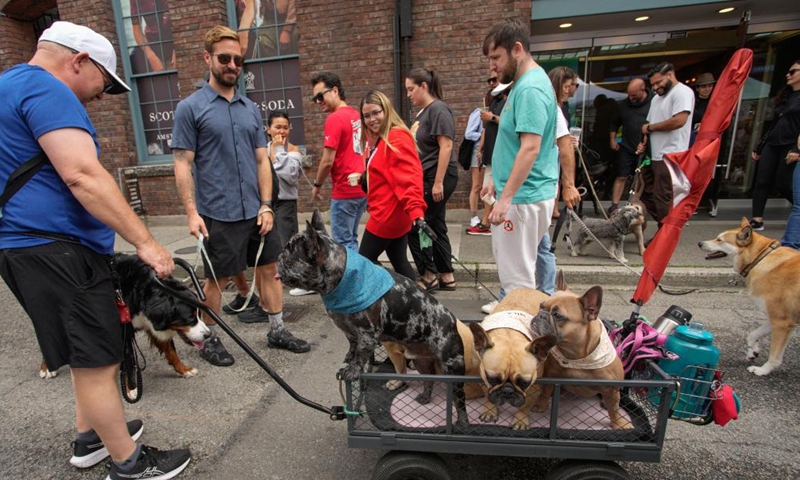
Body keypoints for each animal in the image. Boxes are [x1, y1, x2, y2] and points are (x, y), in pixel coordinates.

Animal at [468, 288, 556, 432]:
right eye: (492, 379)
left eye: (524, 383)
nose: (507, 391)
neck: (509, 334)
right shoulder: (482, 378)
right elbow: (488, 395)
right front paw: (489, 411)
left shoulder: (533, 385)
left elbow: (525, 405)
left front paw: (521, 421)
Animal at [528, 274, 636, 432]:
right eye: (541, 306)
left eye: (557, 315)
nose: (540, 314)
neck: (576, 356)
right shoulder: (551, 375)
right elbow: (545, 391)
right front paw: (540, 405)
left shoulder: (611, 388)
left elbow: (614, 409)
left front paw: (619, 424)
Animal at [696, 218, 796, 376]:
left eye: (719, 240)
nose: (700, 243)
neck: (759, 258)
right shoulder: (779, 319)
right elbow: (752, 334)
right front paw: (752, 352)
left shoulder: (781, 321)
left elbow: (774, 355)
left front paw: (762, 370)